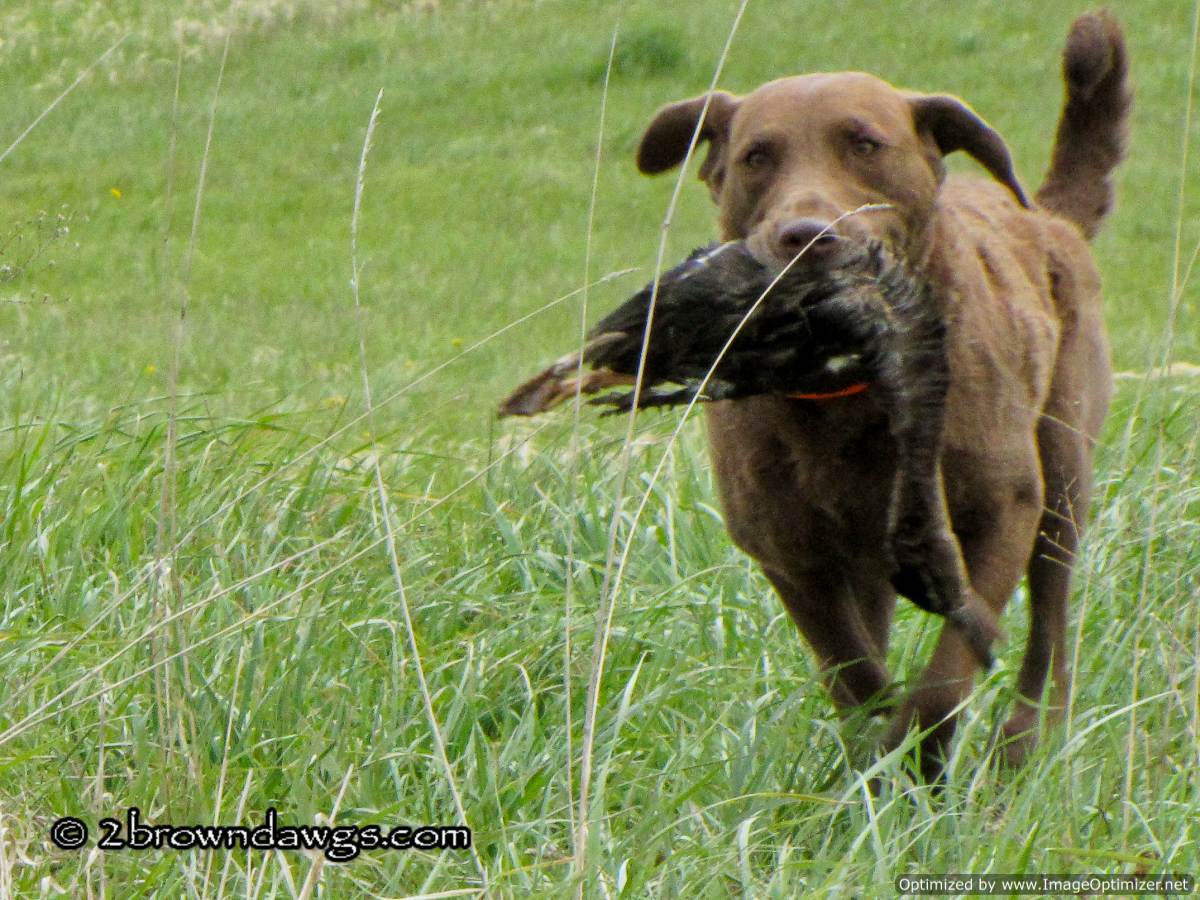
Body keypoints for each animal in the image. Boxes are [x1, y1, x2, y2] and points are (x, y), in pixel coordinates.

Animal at [633, 10, 1129, 776]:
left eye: (865, 144)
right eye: (756, 157)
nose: (807, 235)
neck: (849, 395)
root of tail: (1048, 218)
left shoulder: (1001, 510)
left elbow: (948, 670)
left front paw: (917, 757)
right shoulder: (790, 552)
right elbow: (856, 672)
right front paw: (877, 759)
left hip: (1064, 474)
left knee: (1051, 624)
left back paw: (1022, 746)